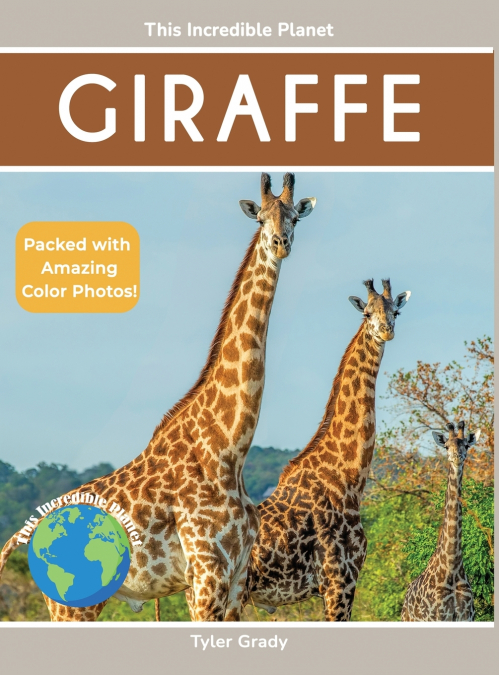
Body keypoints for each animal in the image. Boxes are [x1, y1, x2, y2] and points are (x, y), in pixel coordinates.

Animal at [0, 173, 316, 622]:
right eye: (261, 219)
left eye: (294, 217)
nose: (280, 243)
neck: (228, 447)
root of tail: (24, 533)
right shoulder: (207, 574)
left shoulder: (236, 580)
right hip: (69, 603)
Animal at [241, 278, 411, 621]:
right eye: (366, 313)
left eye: (396, 311)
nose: (386, 330)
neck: (347, 479)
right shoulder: (338, 581)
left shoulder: (341, 583)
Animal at [401, 421, 478, 622]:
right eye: (446, 446)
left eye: (466, 445)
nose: (457, 457)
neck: (452, 567)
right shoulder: (437, 617)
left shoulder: (466, 617)